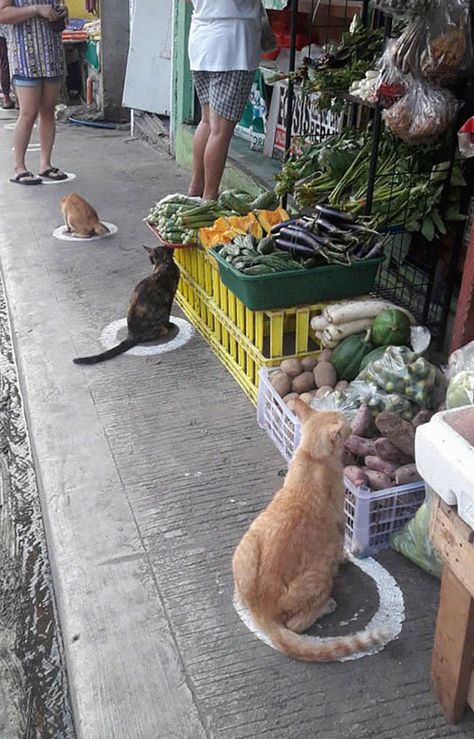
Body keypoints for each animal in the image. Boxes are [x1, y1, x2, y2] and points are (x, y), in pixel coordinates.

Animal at [232, 402, 386, 660]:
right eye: (345, 423)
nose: (351, 419)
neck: (311, 456)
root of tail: (261, 610)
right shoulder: (339, 521)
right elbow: (341, 545)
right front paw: (345, 557)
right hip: (321, 572)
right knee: (296, 625)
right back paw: (327, 606)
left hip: (245, 546)